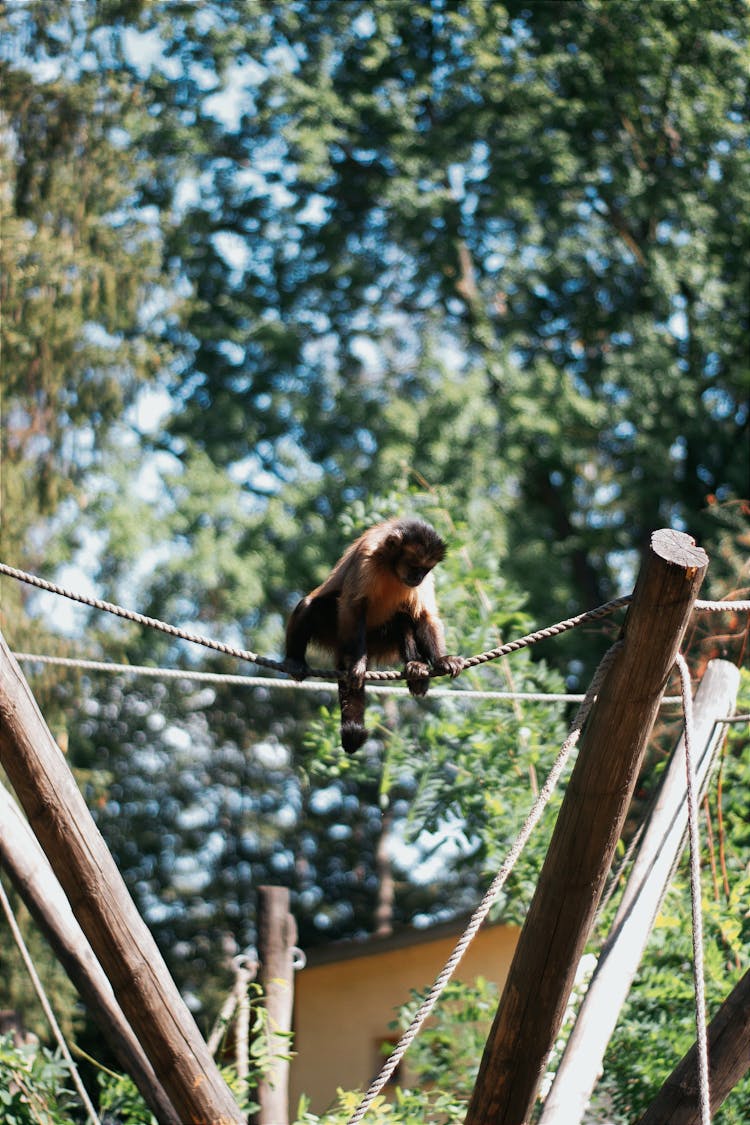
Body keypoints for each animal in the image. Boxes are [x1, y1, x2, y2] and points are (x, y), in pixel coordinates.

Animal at [285, 519, 463, 751]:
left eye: (425, 570)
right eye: (414, 566)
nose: (418, 577)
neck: (391, 568)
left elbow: (424, 616)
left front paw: (442, 659)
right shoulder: (367, 555)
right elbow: (354, 606)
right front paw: (358, 664)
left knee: (403, 616)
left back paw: (416, 669)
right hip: (339, 635)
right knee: (308, 605)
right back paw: (297, 660)